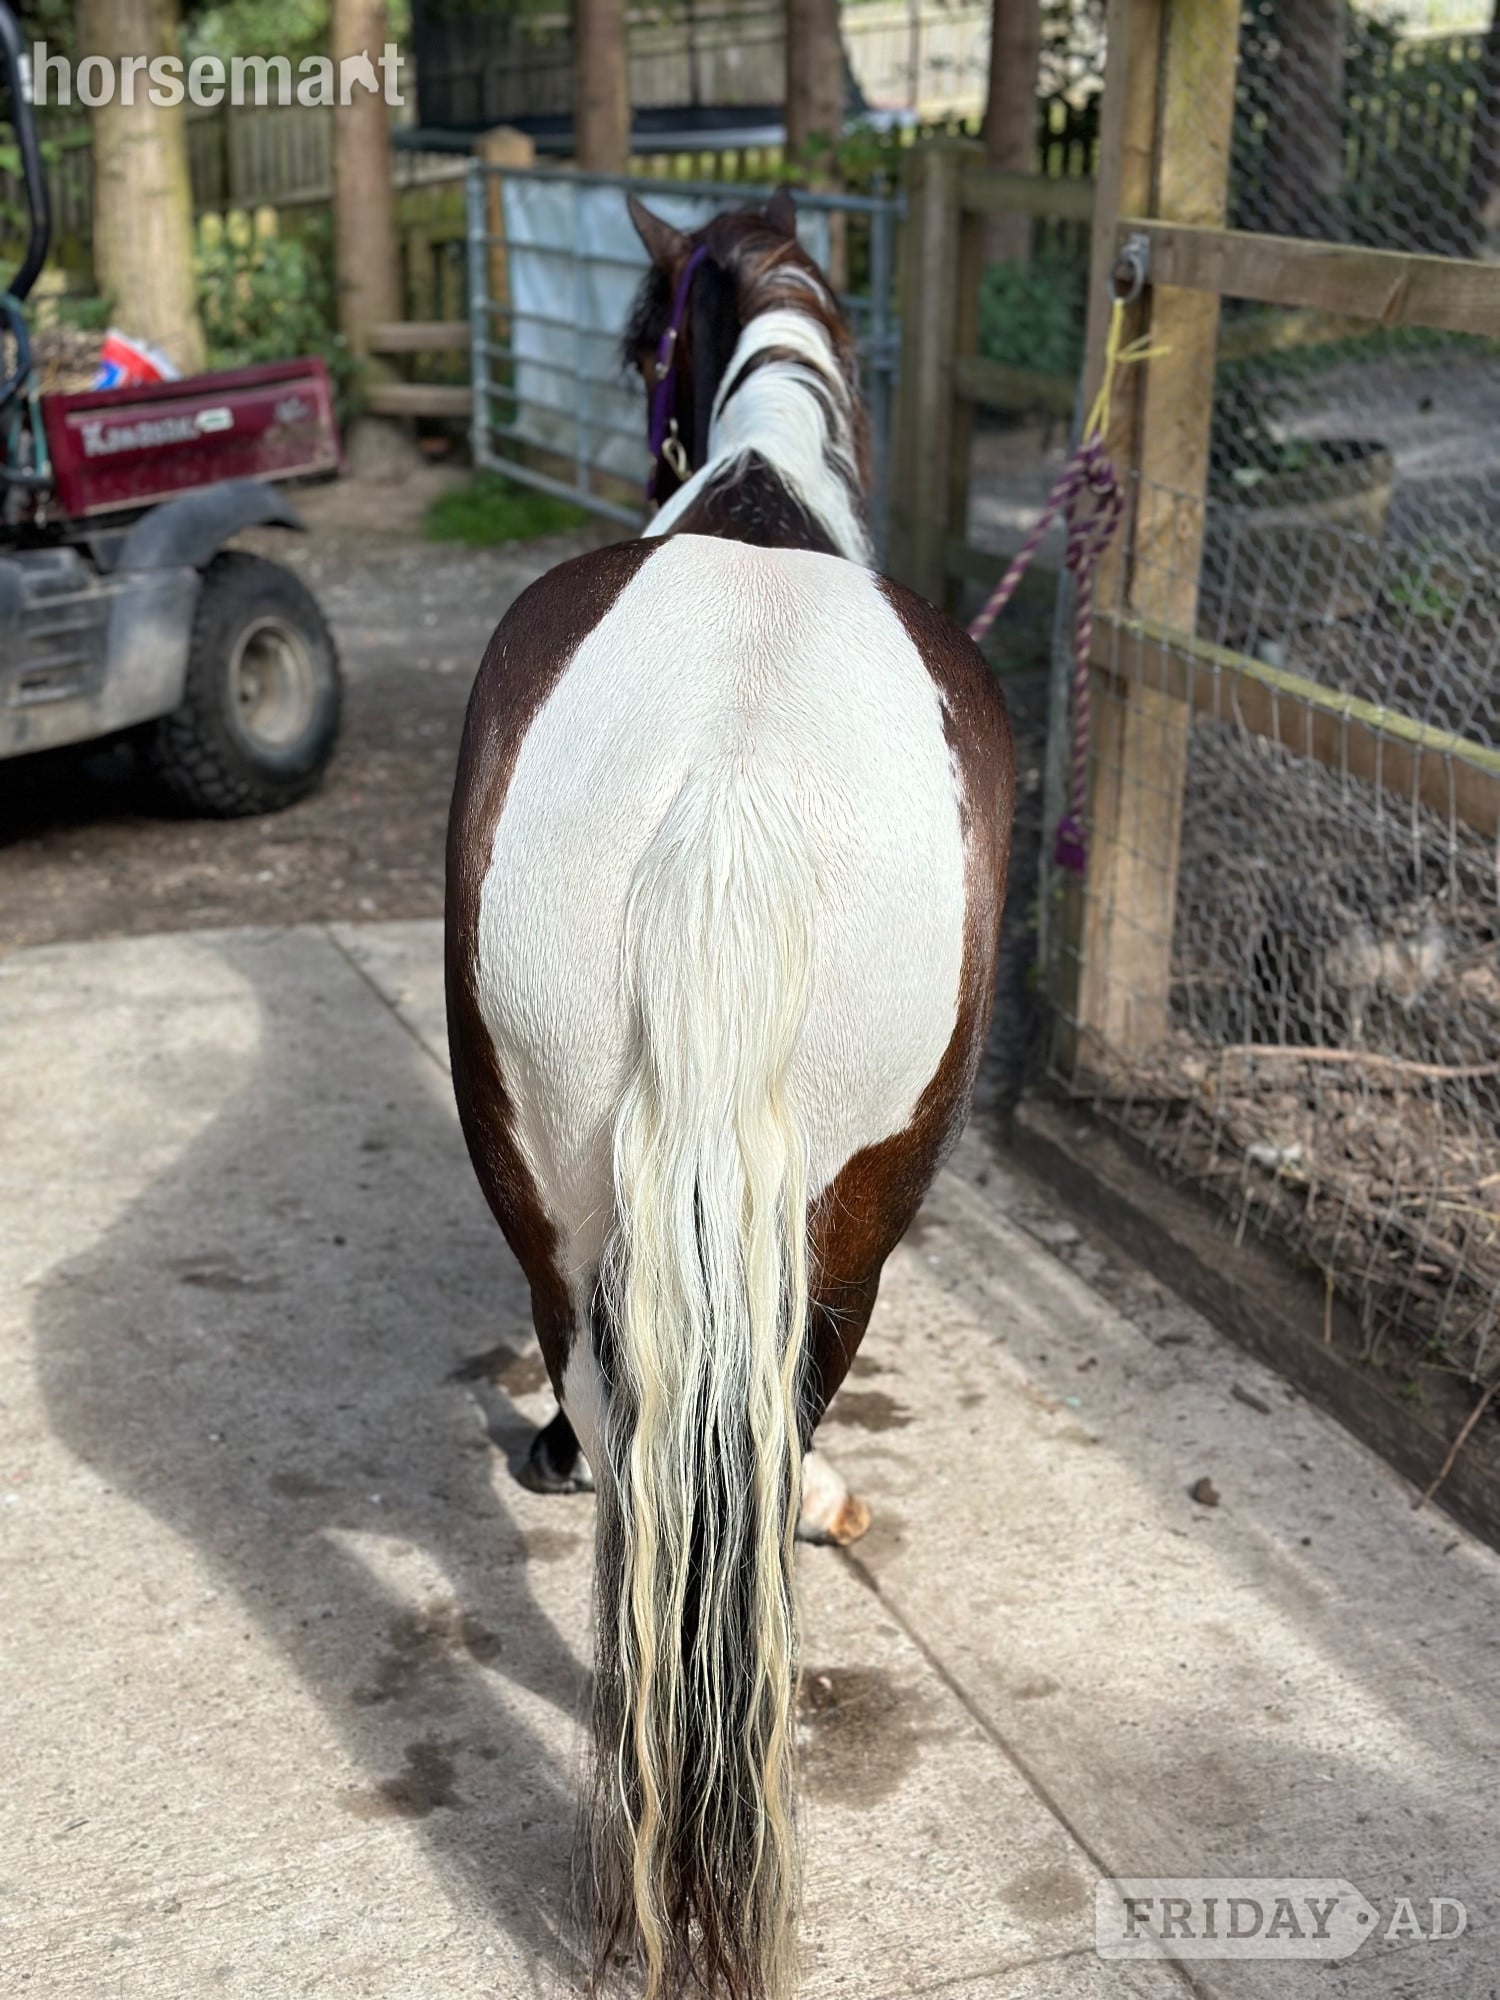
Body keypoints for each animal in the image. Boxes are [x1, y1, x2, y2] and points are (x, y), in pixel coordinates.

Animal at [445, 188, 1014, 2000]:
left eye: (637, 339)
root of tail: (732, 785)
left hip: (560, 1172)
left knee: (637, 1426)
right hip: (853, 1206)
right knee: (723, 1429)